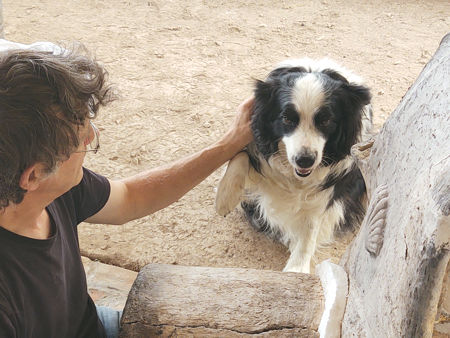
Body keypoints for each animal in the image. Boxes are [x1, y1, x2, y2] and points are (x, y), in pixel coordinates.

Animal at [216, 58, 370, 274]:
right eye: (287, 118)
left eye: (325, 120)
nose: (304, 160)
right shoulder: (252, 132)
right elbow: (241, 155)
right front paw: (225, 197)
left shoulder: (331, 181)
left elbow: (312, 222)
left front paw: (297, 269)